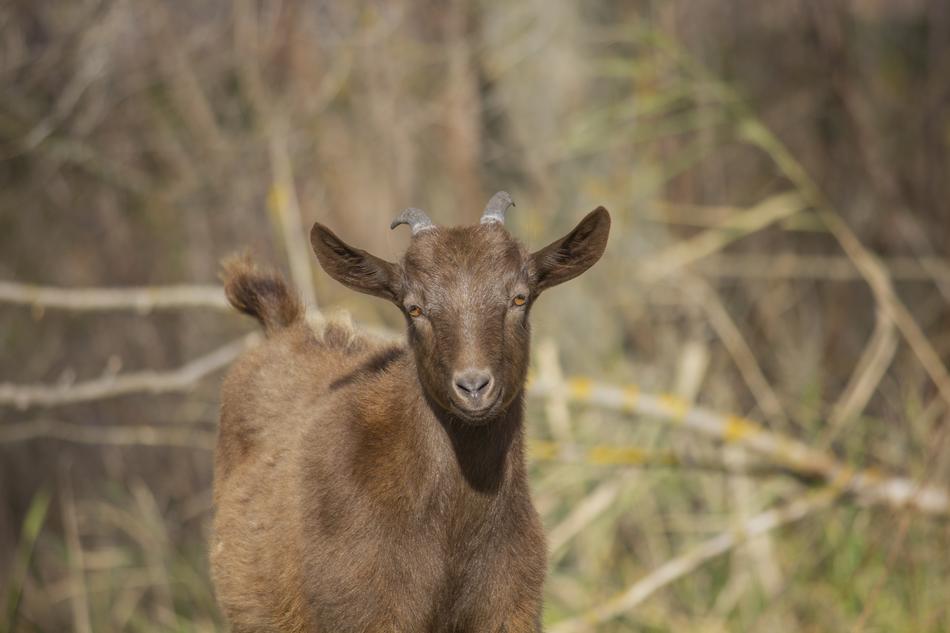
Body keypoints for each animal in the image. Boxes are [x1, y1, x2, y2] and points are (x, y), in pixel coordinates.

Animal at [211, 193, 610, 632]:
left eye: (519, 297)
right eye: (414, 307)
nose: (474, 387)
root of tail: (281, 326)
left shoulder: (511, 610)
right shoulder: (363, 613)